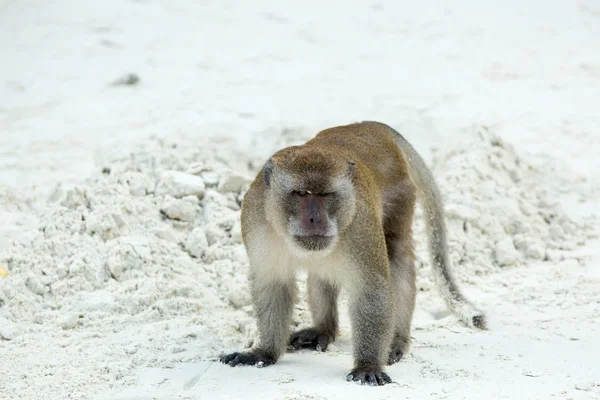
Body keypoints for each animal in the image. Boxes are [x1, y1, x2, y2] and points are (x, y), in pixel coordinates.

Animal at [221, 121, 488, 384]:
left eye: (325, 194)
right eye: (302, 193)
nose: (315, 219)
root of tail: (374, 126)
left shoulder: (360, 222)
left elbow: (371, 288)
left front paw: (367, 364)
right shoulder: (256, 221)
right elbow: (273, 285)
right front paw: (264, 352)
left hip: (401, 196)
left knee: (396, 254)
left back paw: (396, 339)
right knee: (321, 270)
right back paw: (324, 329)